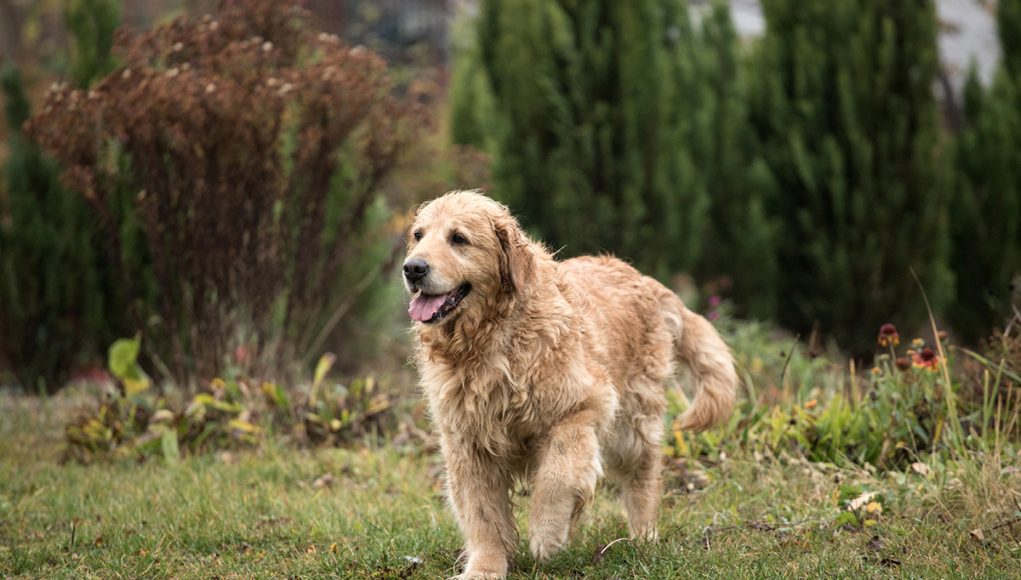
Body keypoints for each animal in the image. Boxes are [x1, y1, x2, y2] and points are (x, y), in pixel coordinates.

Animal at [402, 190, 739, 580]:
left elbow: (557, 476)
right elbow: (482, 515)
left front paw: (547, 533)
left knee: (644, 480)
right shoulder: (467, 443)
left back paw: (644, 537)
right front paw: (485, 568)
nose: (412, 268)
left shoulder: (581, 408)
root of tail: (641, 277)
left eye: (458, 238)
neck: (491, 339)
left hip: (632, 426)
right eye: (418, 236)